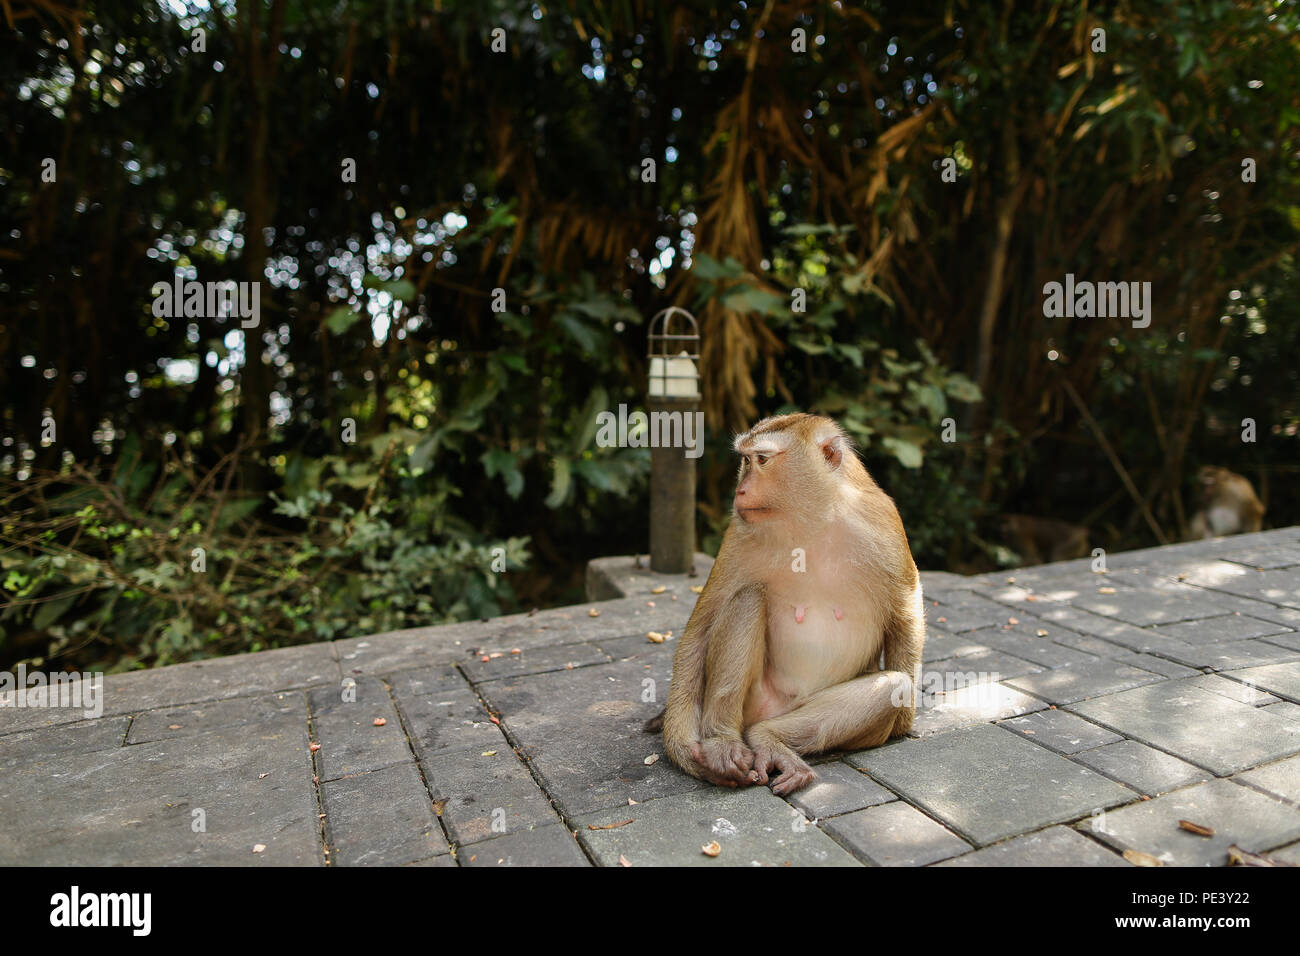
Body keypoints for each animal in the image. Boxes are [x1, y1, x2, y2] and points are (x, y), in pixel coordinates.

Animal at [644, 416, 920, 796]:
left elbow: (905, 611)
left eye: (762, 460)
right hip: (754, 701)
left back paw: (769, 739)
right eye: (746, 461)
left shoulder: (883, 523)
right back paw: (722, 742)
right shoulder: (739, 533)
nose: (740, 491)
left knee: (894, 687)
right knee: (746, 598)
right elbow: (700, 629)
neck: (811, 521)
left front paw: (903, 723)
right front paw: (683, 747)